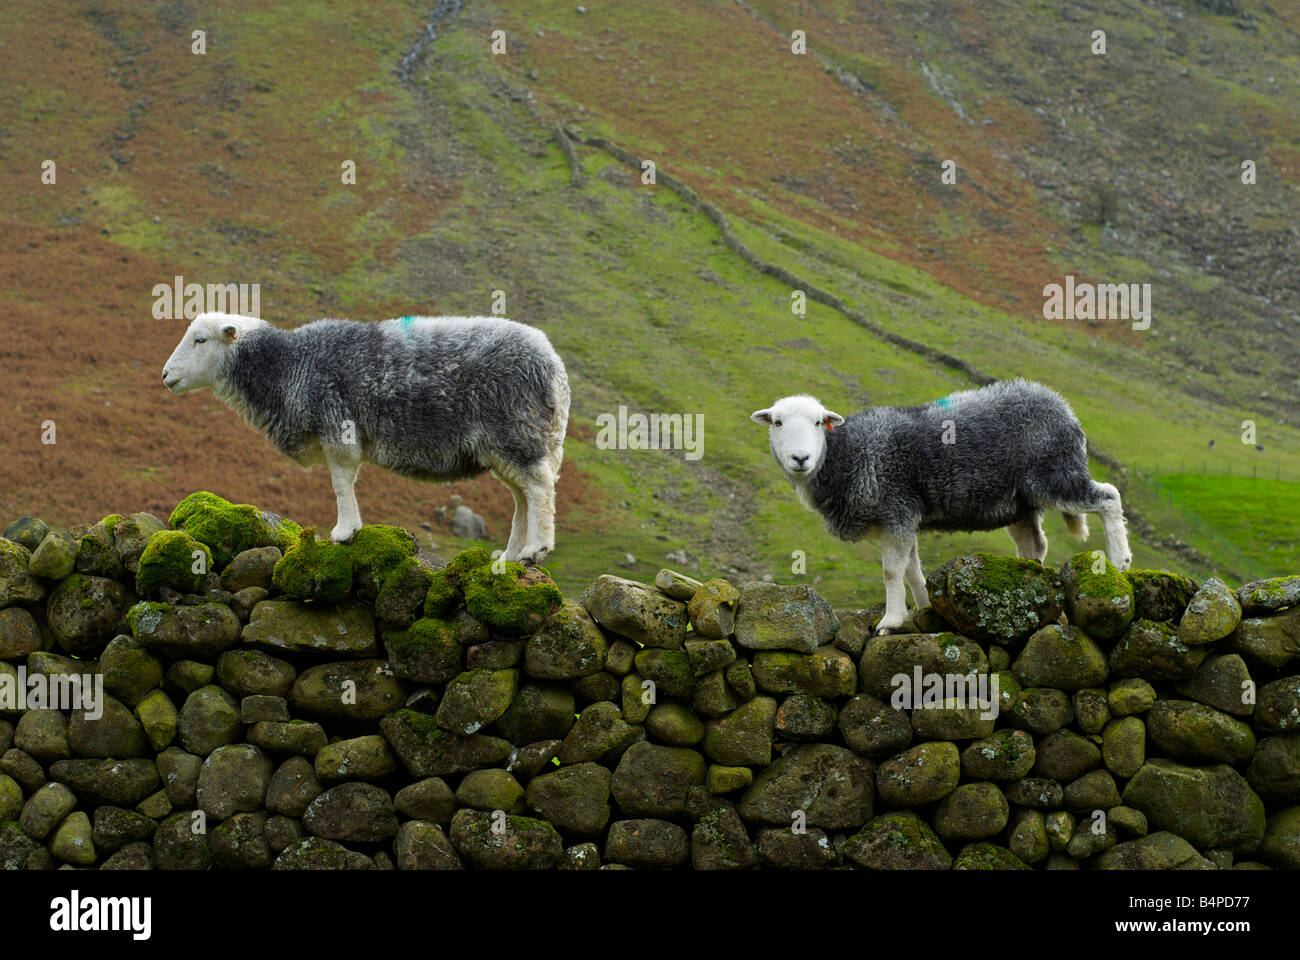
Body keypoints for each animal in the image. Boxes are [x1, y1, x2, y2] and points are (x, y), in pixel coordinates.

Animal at [162, 310, 569, 561]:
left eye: (200, 340)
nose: (166, 375)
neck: (289, 365)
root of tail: (553, 365)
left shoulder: (337, 428)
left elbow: (341, 484)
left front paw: (344, 531)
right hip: (508, 444)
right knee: (522, 497)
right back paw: (512, 555)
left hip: (516, 431)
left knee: (539, 489)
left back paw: (536, 549)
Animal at [759, 377, 1133, 632]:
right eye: (777, 422)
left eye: (819, 422)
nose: (801, 458)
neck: (848, 454)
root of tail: (1060, 404)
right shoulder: (901, 518)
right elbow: (912, 570)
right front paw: (925, 610)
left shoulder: (897, 508)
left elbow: (892, 570)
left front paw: (891, 621)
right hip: (1020, 503)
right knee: (1034, 544)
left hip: (1056, 473)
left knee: (1108, 497)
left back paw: (1120, 560)